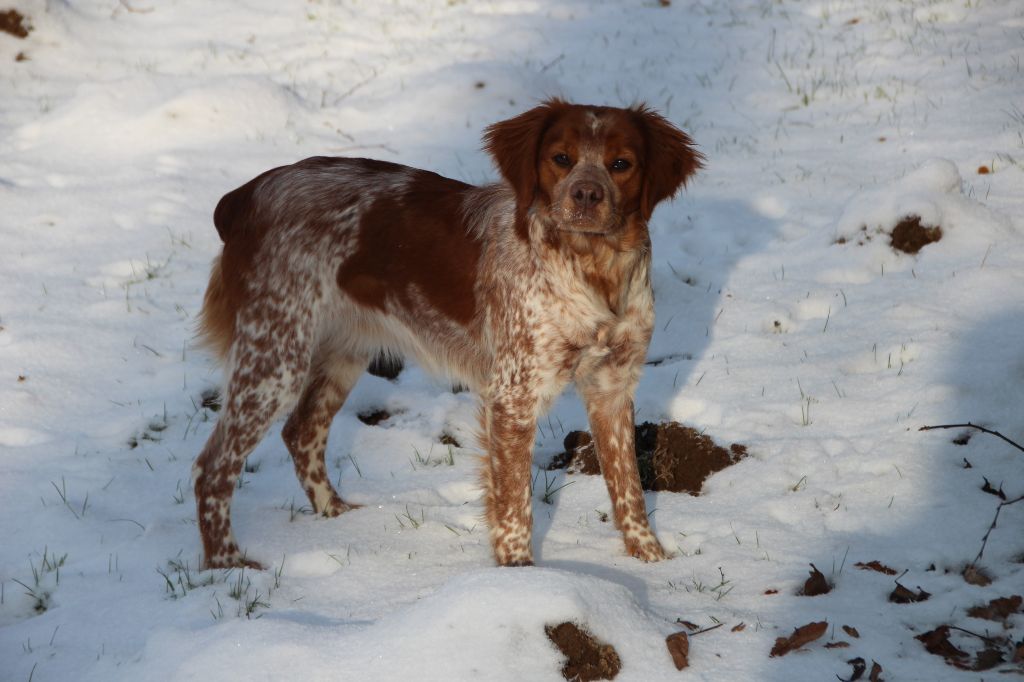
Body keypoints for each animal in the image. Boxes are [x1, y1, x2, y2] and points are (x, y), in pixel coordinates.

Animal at [192, 99, 704, 569]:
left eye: (621, 164)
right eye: (561, 157)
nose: (585, 195)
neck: (595, 269)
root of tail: (245, 195)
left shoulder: (612, 387)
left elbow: (629, 488)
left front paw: (652, 562)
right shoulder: (513, 396)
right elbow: (514, 509)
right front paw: (522, 578)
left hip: (342, 352)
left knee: (300, 432)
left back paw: (338, 517)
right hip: (275, 357)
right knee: (211, 468)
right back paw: (228, 566)